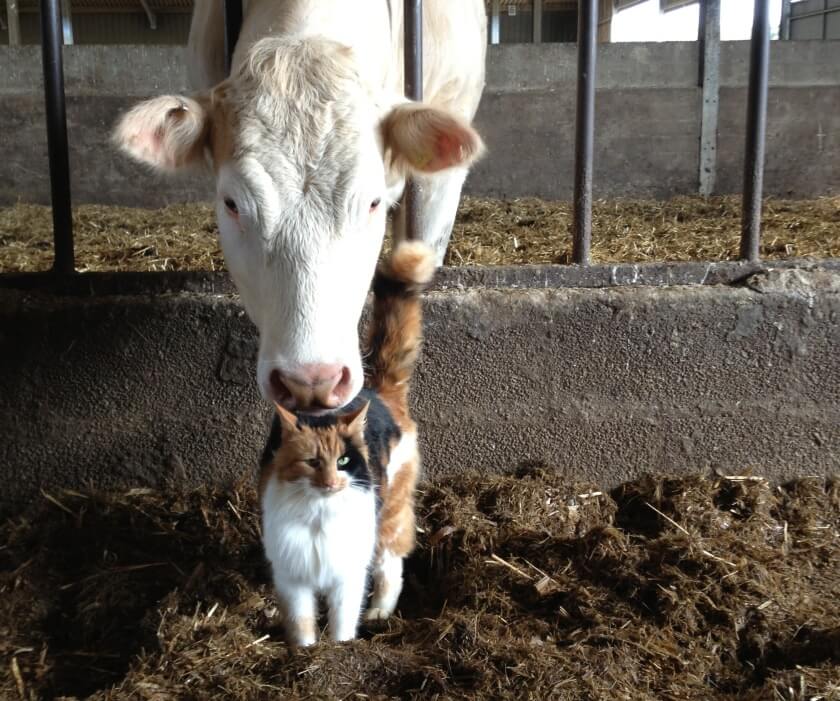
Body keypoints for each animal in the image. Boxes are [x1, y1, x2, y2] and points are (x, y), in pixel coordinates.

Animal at [260, 241, 434, 644]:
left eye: (344, 462)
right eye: (311, 463)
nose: (330, 482)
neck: (319, 517)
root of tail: (377, 387)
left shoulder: (347, 578)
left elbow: (341, 622)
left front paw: (340, 650)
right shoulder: (293, 581)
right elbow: (303, 626)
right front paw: (307, 653)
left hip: (390, 516)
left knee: (391, 567)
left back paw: (379, 613)